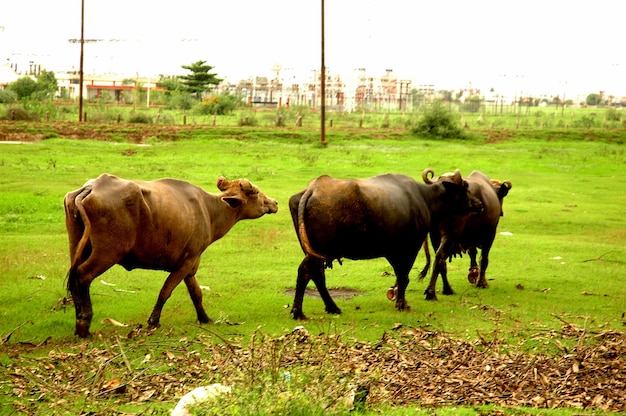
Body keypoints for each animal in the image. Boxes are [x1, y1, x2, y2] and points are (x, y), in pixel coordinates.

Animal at [64, 173, 276, 338]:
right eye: (256, 192)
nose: (274, 202)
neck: (209, 210)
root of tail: (90, 188)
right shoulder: (187, 260)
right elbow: (166, 290)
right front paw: (153, 320)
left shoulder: (191, 266)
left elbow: (196, 293)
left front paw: (205, 318)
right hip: (109, 251)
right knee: (83, 275)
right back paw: (84, 323)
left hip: (76, 245)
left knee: (74, 279)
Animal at [288, 169, 482, 318]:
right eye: (465, 187)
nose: (479, 204)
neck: (424, 199)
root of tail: (313, 188)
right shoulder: (409, 247)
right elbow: (404, 276)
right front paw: (402, 303)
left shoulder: (393, 251)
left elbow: (400, 275)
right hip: (319, 251)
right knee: (307, 272)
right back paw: (300, 311)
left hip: (313, 251)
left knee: (315, 274)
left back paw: (330, 307)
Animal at [420, 169, 512, 300]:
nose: (502, 212)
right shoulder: (490, 233)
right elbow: (484, 258)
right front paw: (482, 282)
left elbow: (472, 252)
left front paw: (473, 272)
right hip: (450, 235)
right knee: (440, 257)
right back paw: (431, 292)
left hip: (435, 236)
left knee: (441, 261)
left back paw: (447, 289)